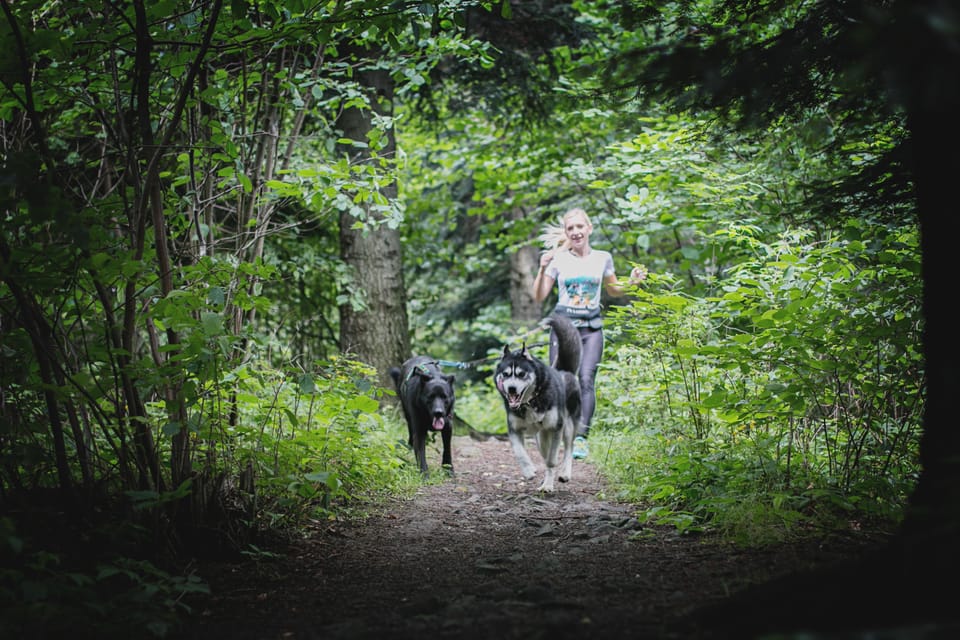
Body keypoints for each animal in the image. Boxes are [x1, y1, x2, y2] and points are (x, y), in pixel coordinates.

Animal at [496, 314, 584, 490]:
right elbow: (519, 452)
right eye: (506, 374)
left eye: (521, 374)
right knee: (545, 451)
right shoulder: (514, 429)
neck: (531, 401)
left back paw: (564, 473)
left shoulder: (556, 428)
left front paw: (548, 485)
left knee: (568, 449)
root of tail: (565, 371)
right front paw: (529, 470)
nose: (511, 389)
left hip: (568, 426)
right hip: (541, 437)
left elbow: (551, 460)